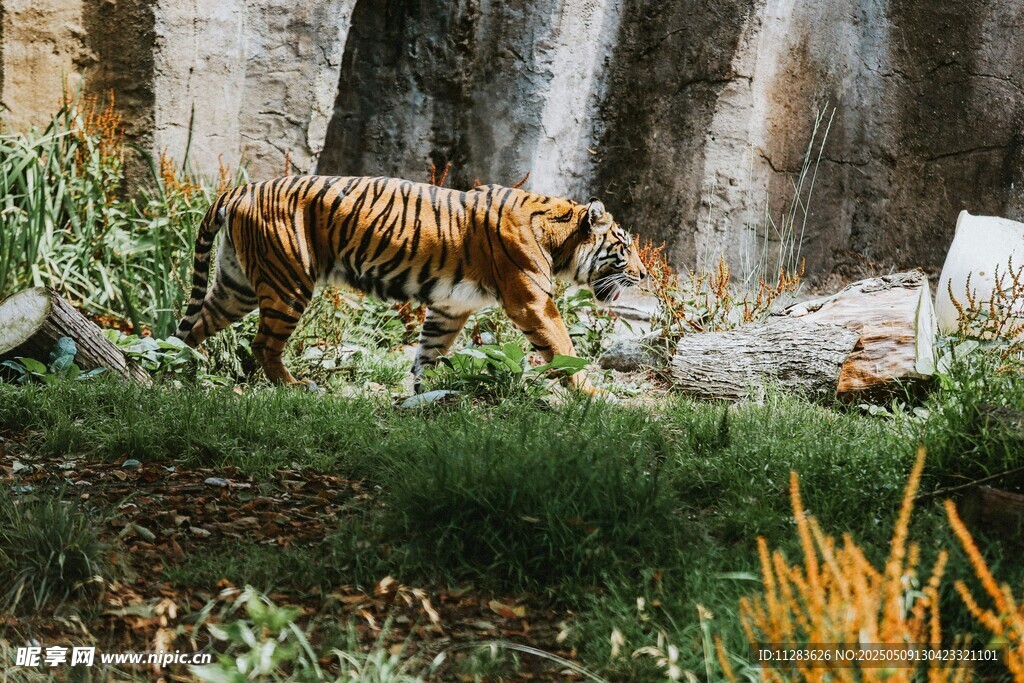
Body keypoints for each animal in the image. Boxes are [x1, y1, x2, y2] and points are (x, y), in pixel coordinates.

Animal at [174, 175, 647, 394]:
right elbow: (564, 349)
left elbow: (428, 354)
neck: (559, 237)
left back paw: (176, 371)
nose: (644, 275)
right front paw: (593, 396)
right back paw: (295, 387)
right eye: (624, 247)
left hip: (237, 285)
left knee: (192, 326)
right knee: (263, 345)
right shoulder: (531, 301)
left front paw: (425, 395)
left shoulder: (450, 308)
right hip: (288, 282)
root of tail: (241, 188)